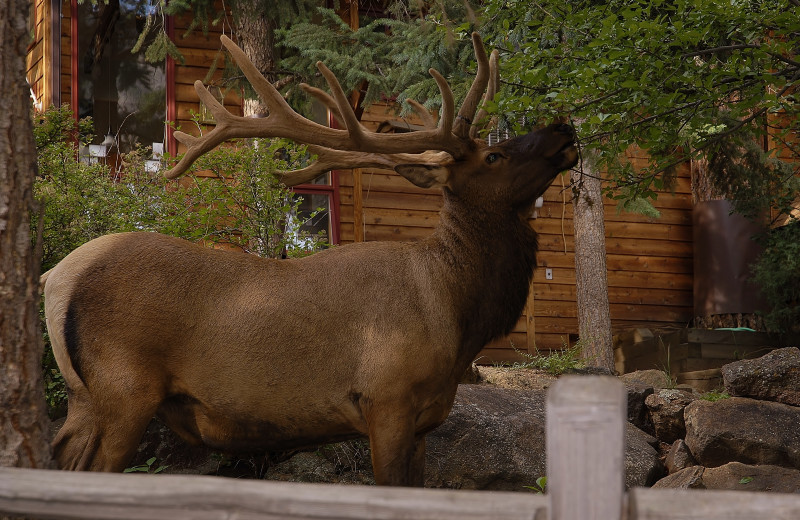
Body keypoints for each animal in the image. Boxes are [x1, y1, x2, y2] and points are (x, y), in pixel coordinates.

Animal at [42, 33, 576, 488]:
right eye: (494, 156)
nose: (562, 126)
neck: (453, 311)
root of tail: (54, 277)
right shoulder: (386, 397)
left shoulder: (426, 419)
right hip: (123, 389)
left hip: (83, 395)